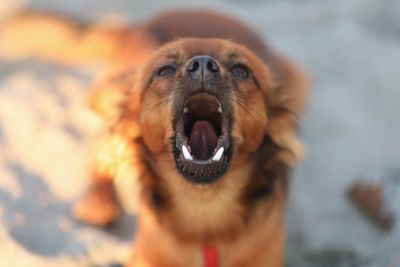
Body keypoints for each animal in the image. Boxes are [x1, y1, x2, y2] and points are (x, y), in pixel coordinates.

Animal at [0, 8, 310, 267]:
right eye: (165, 70)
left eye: (242, 71)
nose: (202, 64)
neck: (205, 210)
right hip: (109, 92)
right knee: (104, 147)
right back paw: (98, 203)